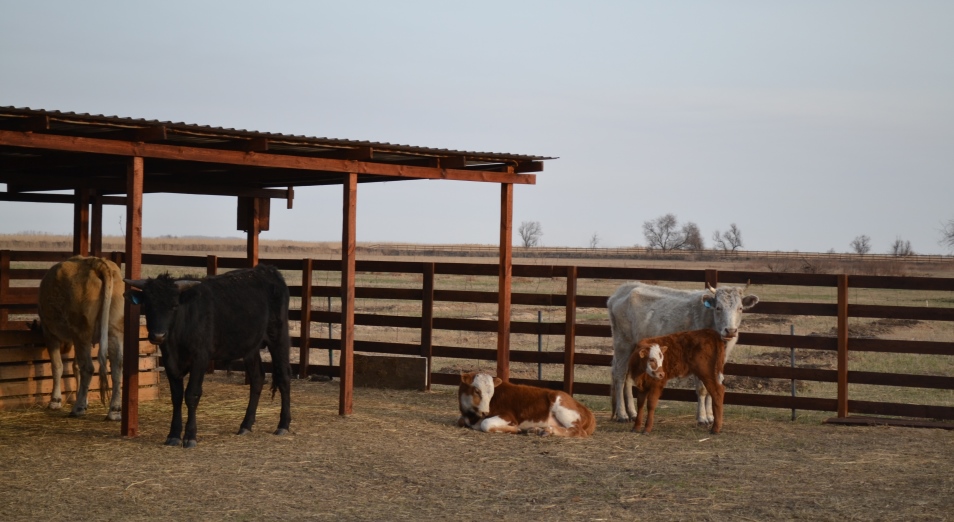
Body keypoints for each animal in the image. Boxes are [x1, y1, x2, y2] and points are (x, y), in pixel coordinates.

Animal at [124, 264, 292, 446]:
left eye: (174, 306)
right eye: (148, 306)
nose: (158, 336)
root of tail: (267, 269)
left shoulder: (200, 359)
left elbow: (191, 394)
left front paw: (190, 436)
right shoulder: (170, 361)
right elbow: (176, 396)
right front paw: (173, 434)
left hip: (278, 337)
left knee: (283, 377)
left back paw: (283, 425)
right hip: (251, 346)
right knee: (257, 378)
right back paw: (246, 425)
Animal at [456, 370, 596, 434]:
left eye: (491, 393)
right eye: (477, 391)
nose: (485, 412)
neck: (471, 416)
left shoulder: (508, 417)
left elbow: (486, 424)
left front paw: (516, 429)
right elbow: (460, 421)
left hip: (562, 407)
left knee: (576, 431)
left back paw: (548, 431)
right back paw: (537, 430)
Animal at [608, 280, 756, 422]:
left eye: (740, 308)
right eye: (718, 308)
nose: (730, 330)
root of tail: (623, 289)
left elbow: (712, 386)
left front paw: (711, 416)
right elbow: (702, 388)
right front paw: (702, 417)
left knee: (628, 377)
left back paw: (632, 413)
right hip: (623, 344)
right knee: (620, 375)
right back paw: (622, 415)